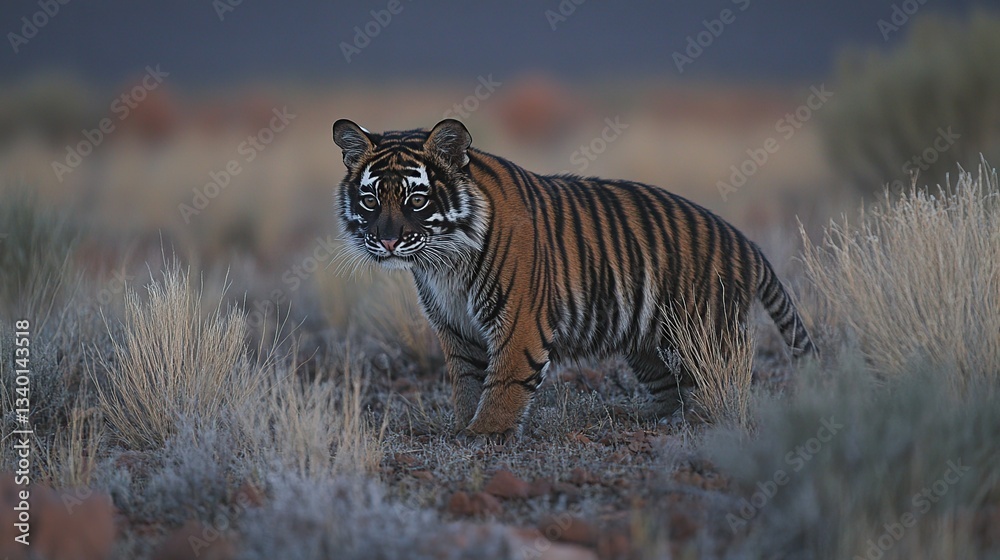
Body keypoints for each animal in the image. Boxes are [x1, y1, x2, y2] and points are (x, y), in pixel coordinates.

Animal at [332, 118, 816, 438]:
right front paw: (464, 426)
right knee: (672, 388)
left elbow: (503, 385)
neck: (444, 262)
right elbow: (467, 384)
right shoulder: (457, 329)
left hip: (703, 333)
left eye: (416, 199)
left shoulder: (518, 324)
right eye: (371, 199)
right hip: (648, 344)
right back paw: (647, 419)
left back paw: (709, 419)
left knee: (726, 383)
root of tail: (747, 243)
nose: (388, 241)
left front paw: (482, 435)